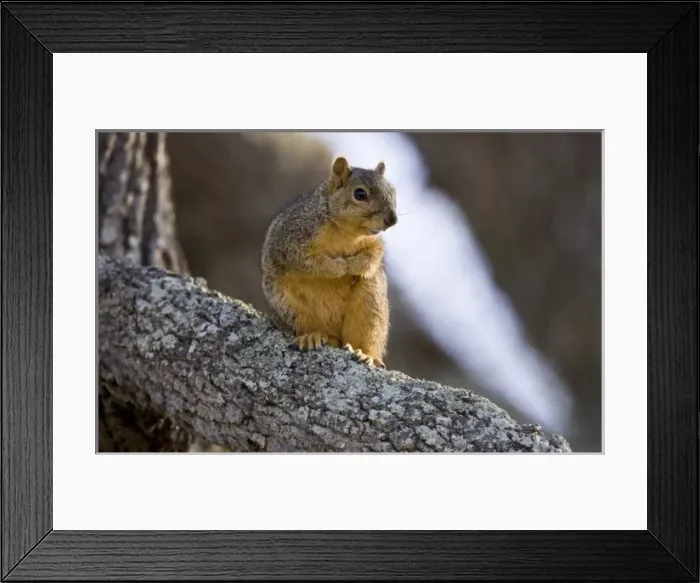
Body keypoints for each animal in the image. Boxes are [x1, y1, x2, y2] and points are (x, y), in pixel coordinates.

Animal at [261, 156, 398, 369]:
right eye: (360, 194)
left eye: (393, 192)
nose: (392, 220)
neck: (346, 232)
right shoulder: (292, 238)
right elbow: (308, 261)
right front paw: (340, 267)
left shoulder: (375, 242)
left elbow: (374, 256)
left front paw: (355, 265)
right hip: (288, 305)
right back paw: (312, 336)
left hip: (371, 305)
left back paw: (366, 355)